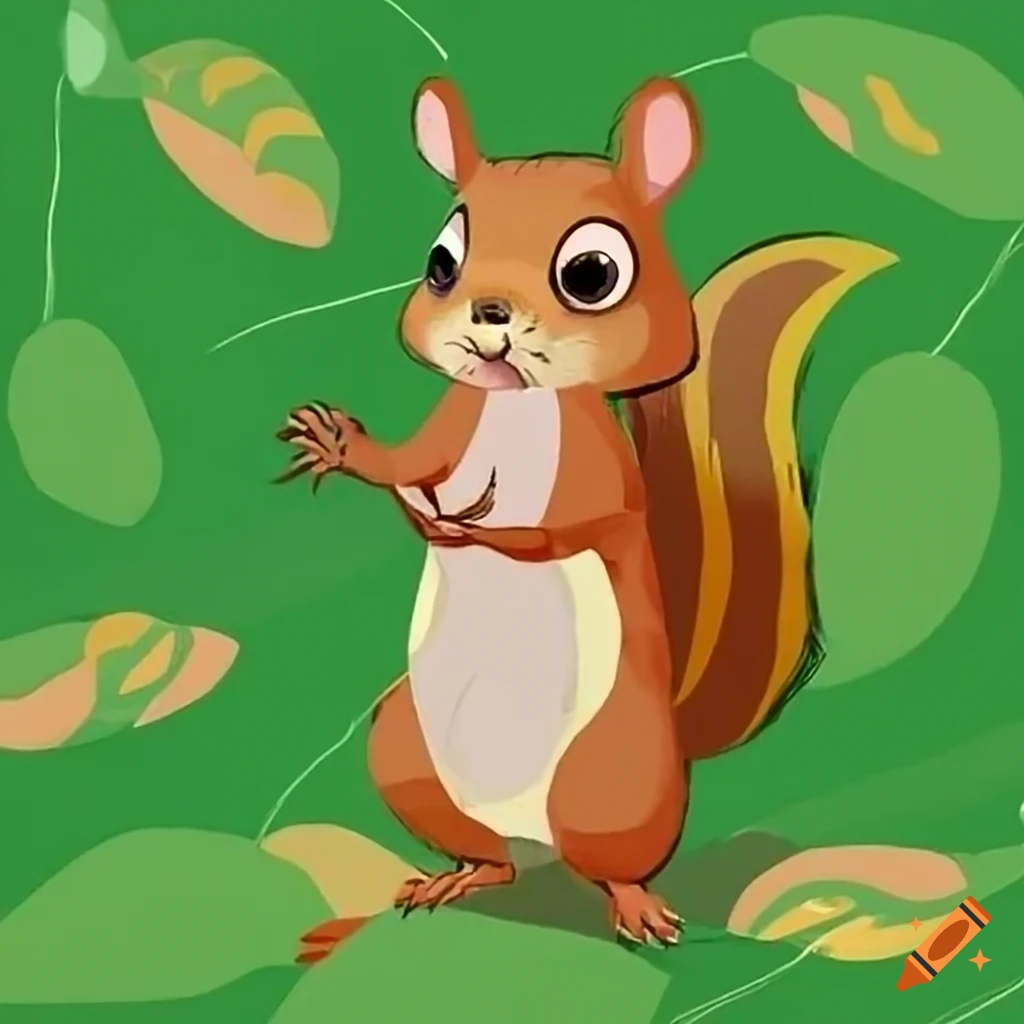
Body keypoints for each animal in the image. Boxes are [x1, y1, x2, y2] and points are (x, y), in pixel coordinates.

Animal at [278, 74, 886, 948]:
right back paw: (453, 879)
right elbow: (408, 465)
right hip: (403, 748)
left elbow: (565, 530)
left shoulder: (598, 471)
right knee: (490, 857)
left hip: (609, 782)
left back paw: (635, 906)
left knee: (609, 863)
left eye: (592, 273)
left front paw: (474, 530)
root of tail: (535, 839)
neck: (517, 406)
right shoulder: (453, 424)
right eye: (440, 264)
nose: (488, 314)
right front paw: (344, 449)